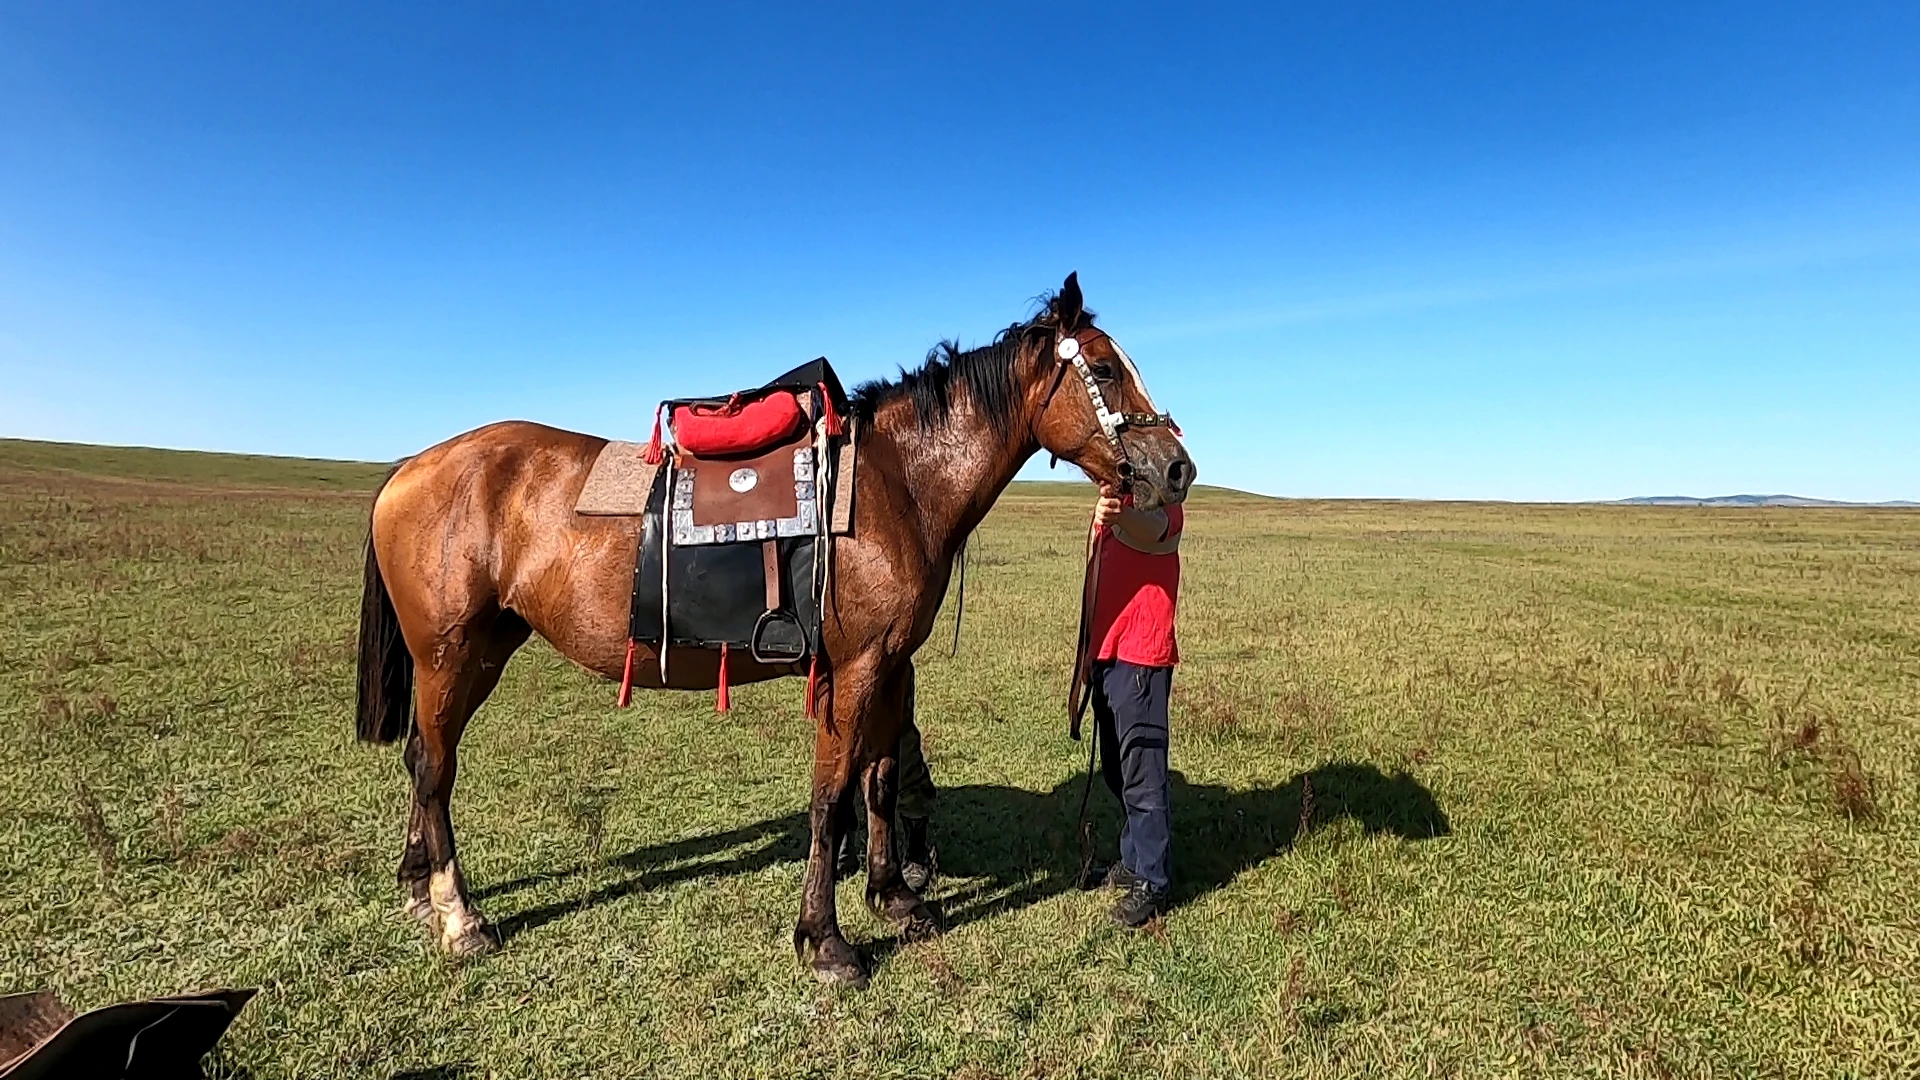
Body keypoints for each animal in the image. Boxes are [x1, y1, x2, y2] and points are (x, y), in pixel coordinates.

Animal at [355, 270, 1190, 983]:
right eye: (1106, 369)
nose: (1177, 468)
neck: (897, 484)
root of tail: (412, 466)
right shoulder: (855, 668)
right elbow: (832, 796)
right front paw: (826, 942)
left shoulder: (892, 665)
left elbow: (881, 780)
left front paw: (894, 896)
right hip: (450, 653)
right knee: (436, 768)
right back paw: (459, 916)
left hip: (483, 649)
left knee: (423, 758)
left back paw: (417, 887)